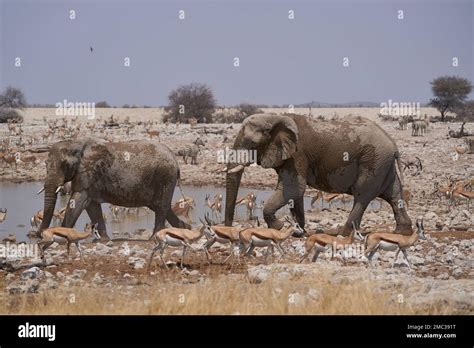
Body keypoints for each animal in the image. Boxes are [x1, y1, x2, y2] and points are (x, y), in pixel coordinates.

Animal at [224, 114, 412, 237]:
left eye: (251, 143)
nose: (229, 231)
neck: (274, 117)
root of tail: (393, 143)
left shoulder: (297, 154)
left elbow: (294, 188)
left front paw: (278, 226)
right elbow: (294, 194)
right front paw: (299, 233)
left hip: (373, 161)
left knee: (362, 196)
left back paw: (343, 233)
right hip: (383, 163)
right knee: (393, 194)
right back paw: (403, 232)